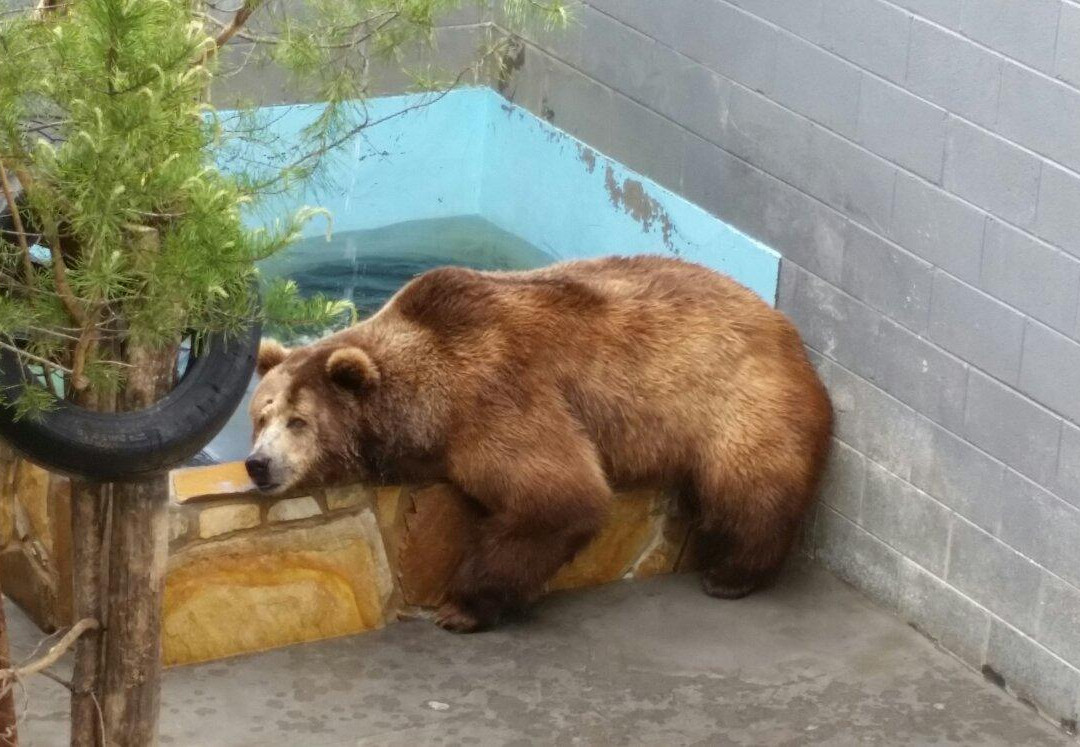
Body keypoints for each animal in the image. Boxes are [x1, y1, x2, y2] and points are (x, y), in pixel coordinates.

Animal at [248, 255, 829, 630]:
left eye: (299, 421)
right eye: (261, 415)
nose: (258, 464)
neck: (423, 406)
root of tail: (787, 331)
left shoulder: (494, 396)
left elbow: (558, 495)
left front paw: (461, 607)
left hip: (737, 400)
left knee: (748, 486)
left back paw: (732, 573)